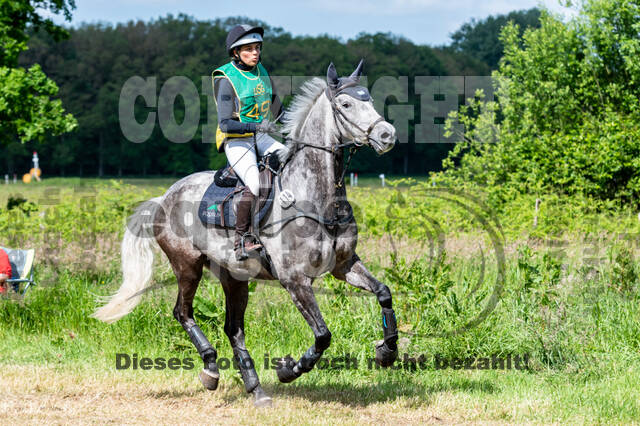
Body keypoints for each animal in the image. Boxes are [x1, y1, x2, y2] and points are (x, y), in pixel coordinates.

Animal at [93, 60, 399, 407]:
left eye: (369, 99)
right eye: (346, 104)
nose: (387, 135)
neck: (317, 197)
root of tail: (164, 197)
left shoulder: (343, 265)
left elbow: (384, 292)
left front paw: (387, 352)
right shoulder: (295, 279)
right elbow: (323, 335)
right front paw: (288, 370)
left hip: (233, 276)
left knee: (233, 328)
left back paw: (255, 388)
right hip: (187, 265)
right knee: (183, 312)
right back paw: (211, 369)